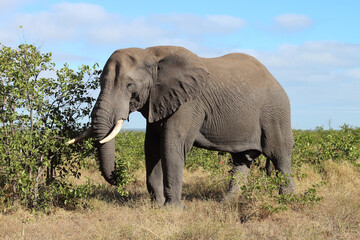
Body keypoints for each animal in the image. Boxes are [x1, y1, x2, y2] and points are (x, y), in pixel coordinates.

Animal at [69, 46, 296, 205]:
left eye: (129, 85)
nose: (120, 174)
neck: (150, 54)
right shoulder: (157, 101)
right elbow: (151, 147)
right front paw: (157, 205)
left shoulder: (188, 103)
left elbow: (171, 145)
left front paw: (172, 208)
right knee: (242, 161)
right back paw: (226, 203)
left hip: (275, 113)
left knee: (280, 157)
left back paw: (288, 201)